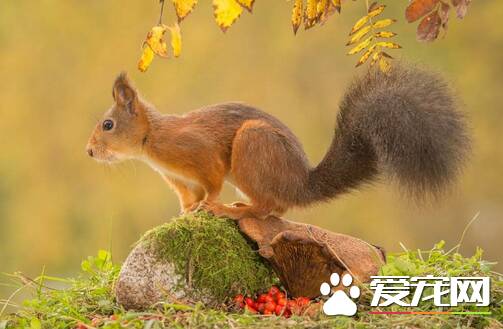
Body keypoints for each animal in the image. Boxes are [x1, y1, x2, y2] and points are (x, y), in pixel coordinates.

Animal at [85, 62, 468, 219]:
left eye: (108, 124)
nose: (89, 151)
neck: (152, 141)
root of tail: (299, 184)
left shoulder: (201, 155)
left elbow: (211, 184)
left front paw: (209, 205)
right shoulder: (179, 180)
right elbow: (188, 196)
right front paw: (186, 211)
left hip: (252, 148)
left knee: (270, 206)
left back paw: (233, 209)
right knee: (276, 207)